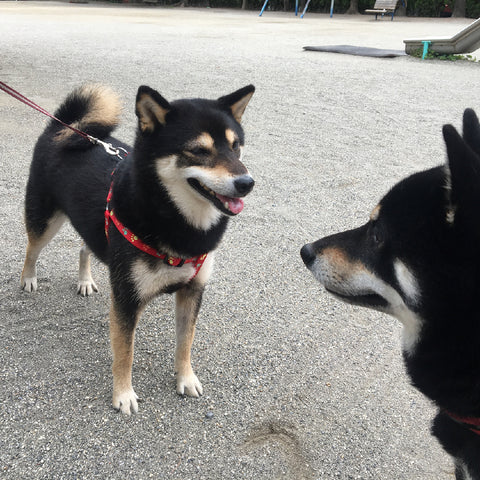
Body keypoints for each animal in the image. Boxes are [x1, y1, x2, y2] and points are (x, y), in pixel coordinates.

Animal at [21, 83, 255, 414]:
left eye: (236, 147)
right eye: (198, 150)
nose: (247, 182)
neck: (178, 223)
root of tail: (66, 128)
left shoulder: (192, 290)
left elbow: (185, 342)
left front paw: (186, 378)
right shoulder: (126, 299)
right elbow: (124, 354)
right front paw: (124, 395)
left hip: (96, 227)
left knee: (84, 248)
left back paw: (85, 280)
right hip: (45, 221)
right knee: (32, 248)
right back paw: (29, 278)